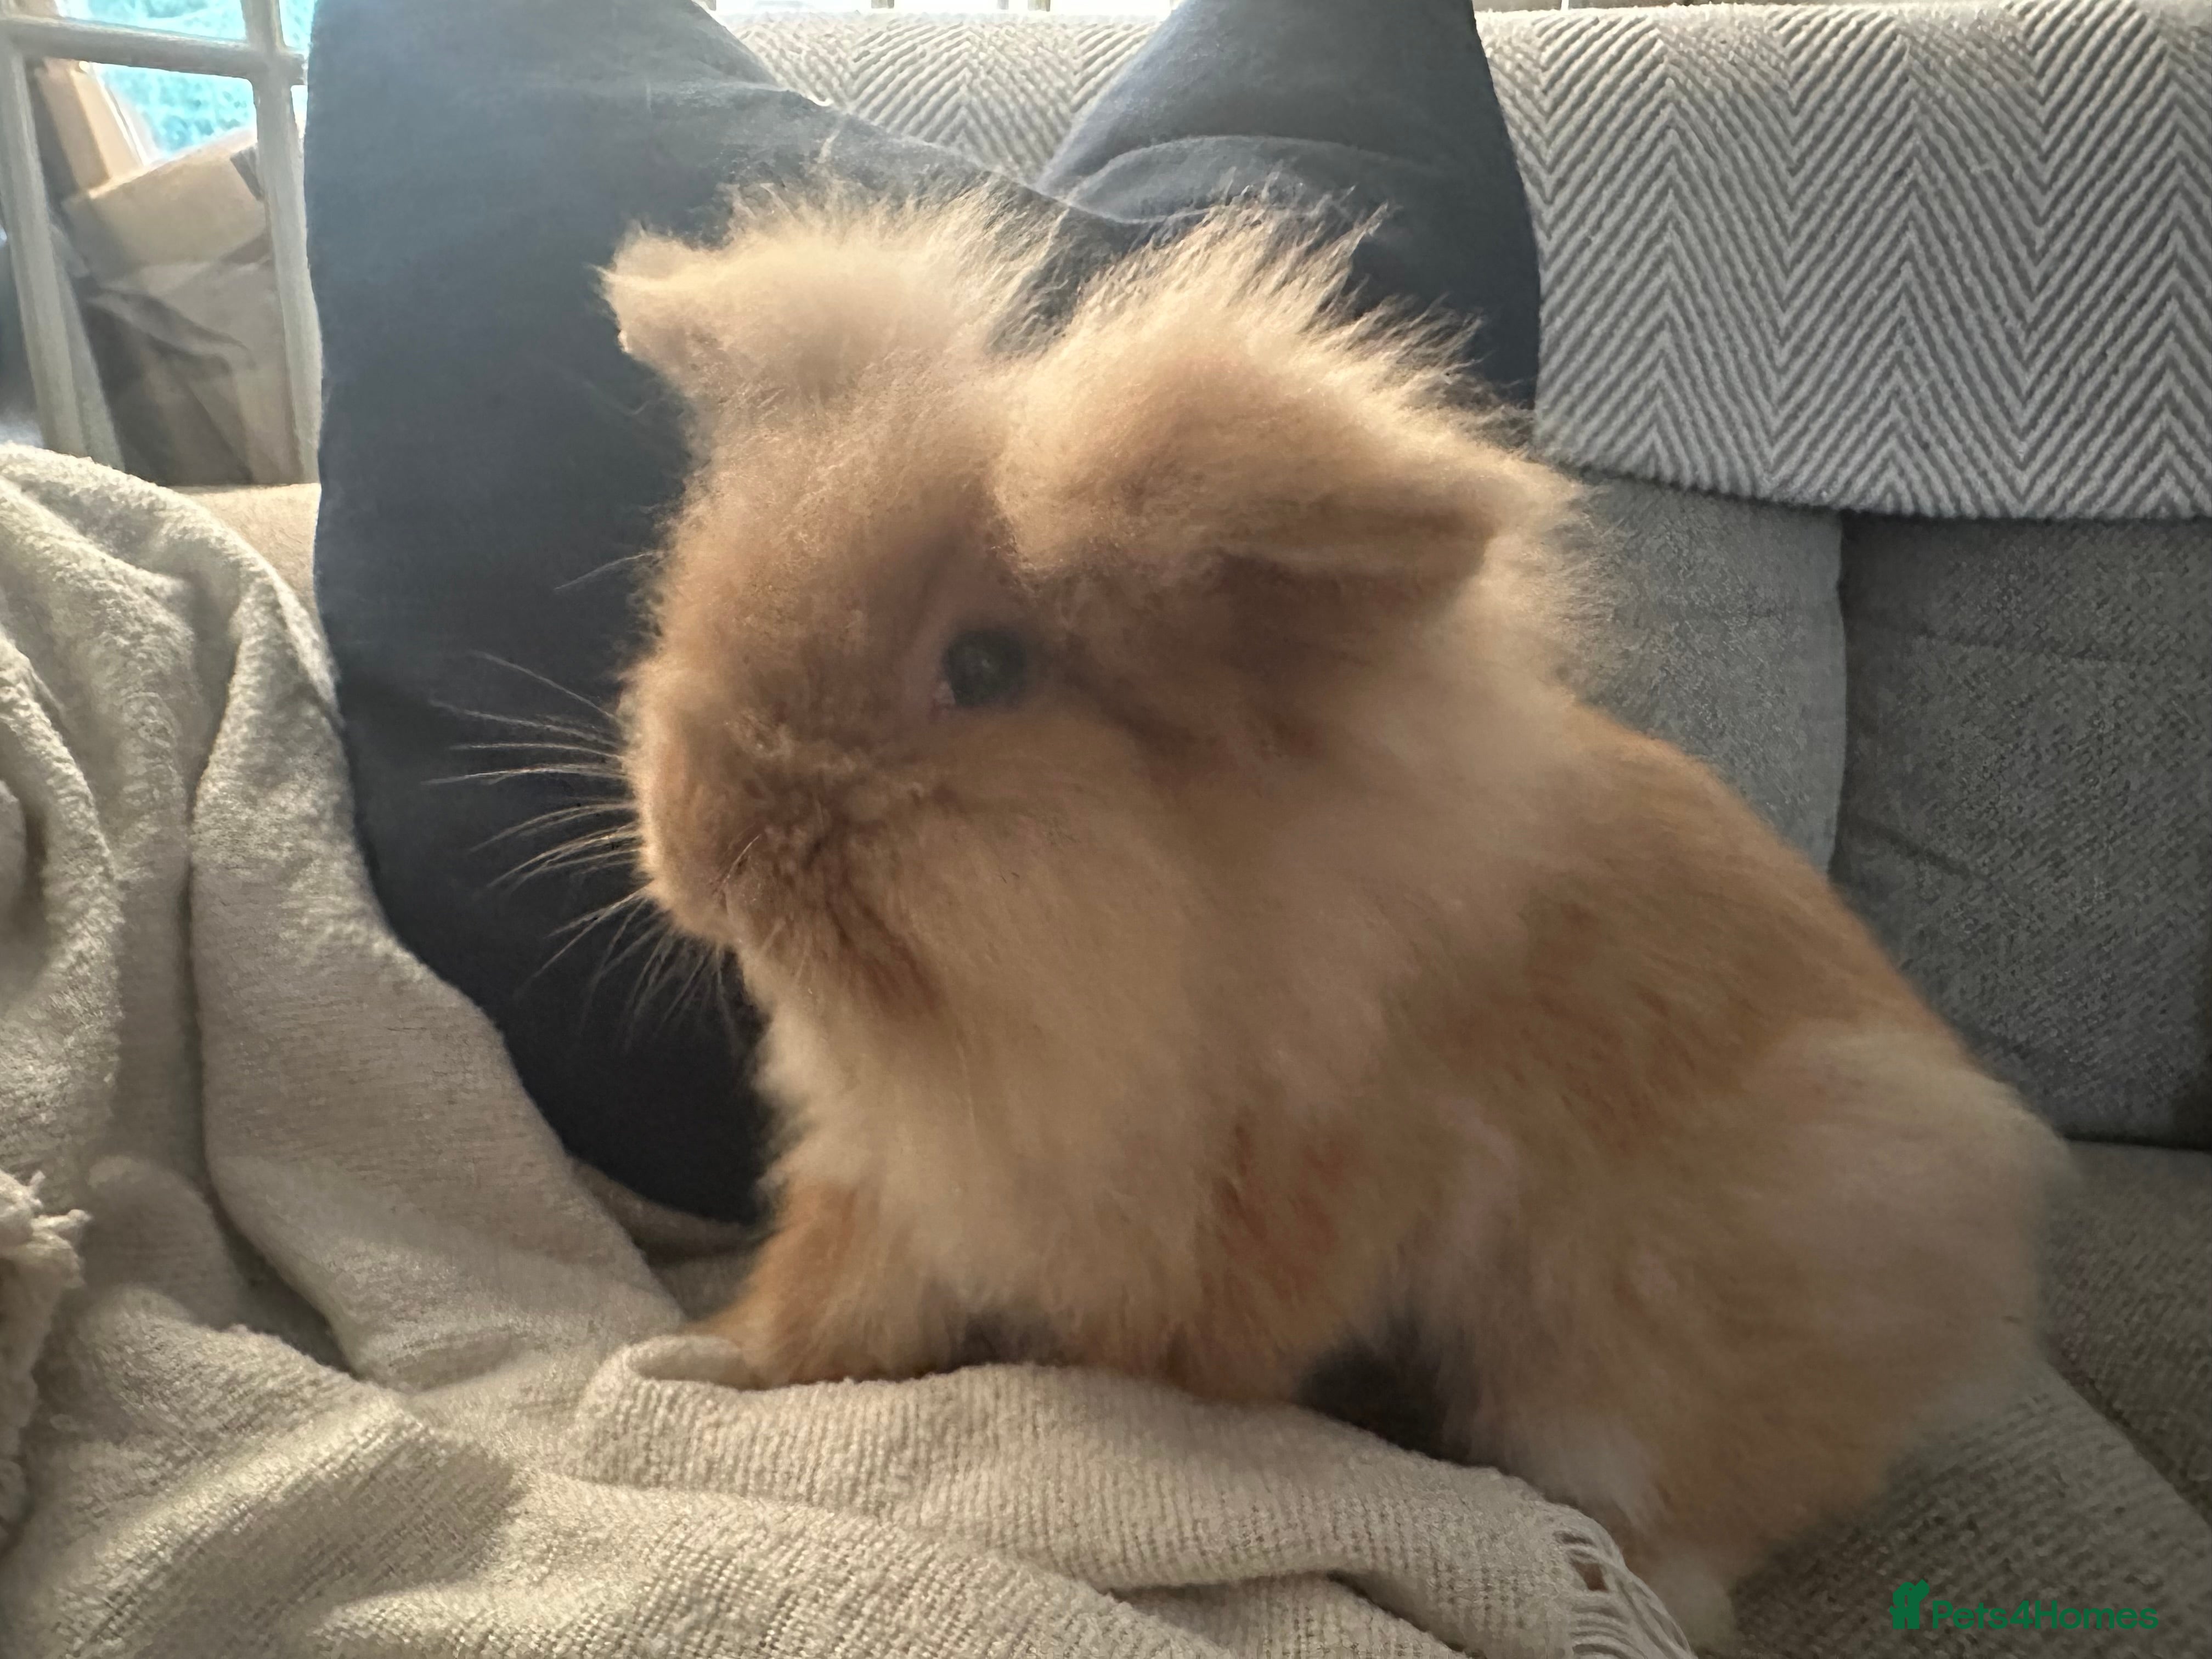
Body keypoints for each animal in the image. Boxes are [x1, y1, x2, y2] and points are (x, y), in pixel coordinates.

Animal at [602, 191, 2065, 1647]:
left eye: (985, 666)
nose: (703, 845)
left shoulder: (1266, 1218)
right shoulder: (895, 1185)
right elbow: (830, 1300)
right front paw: (735, 1360)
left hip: (1643, 1352)